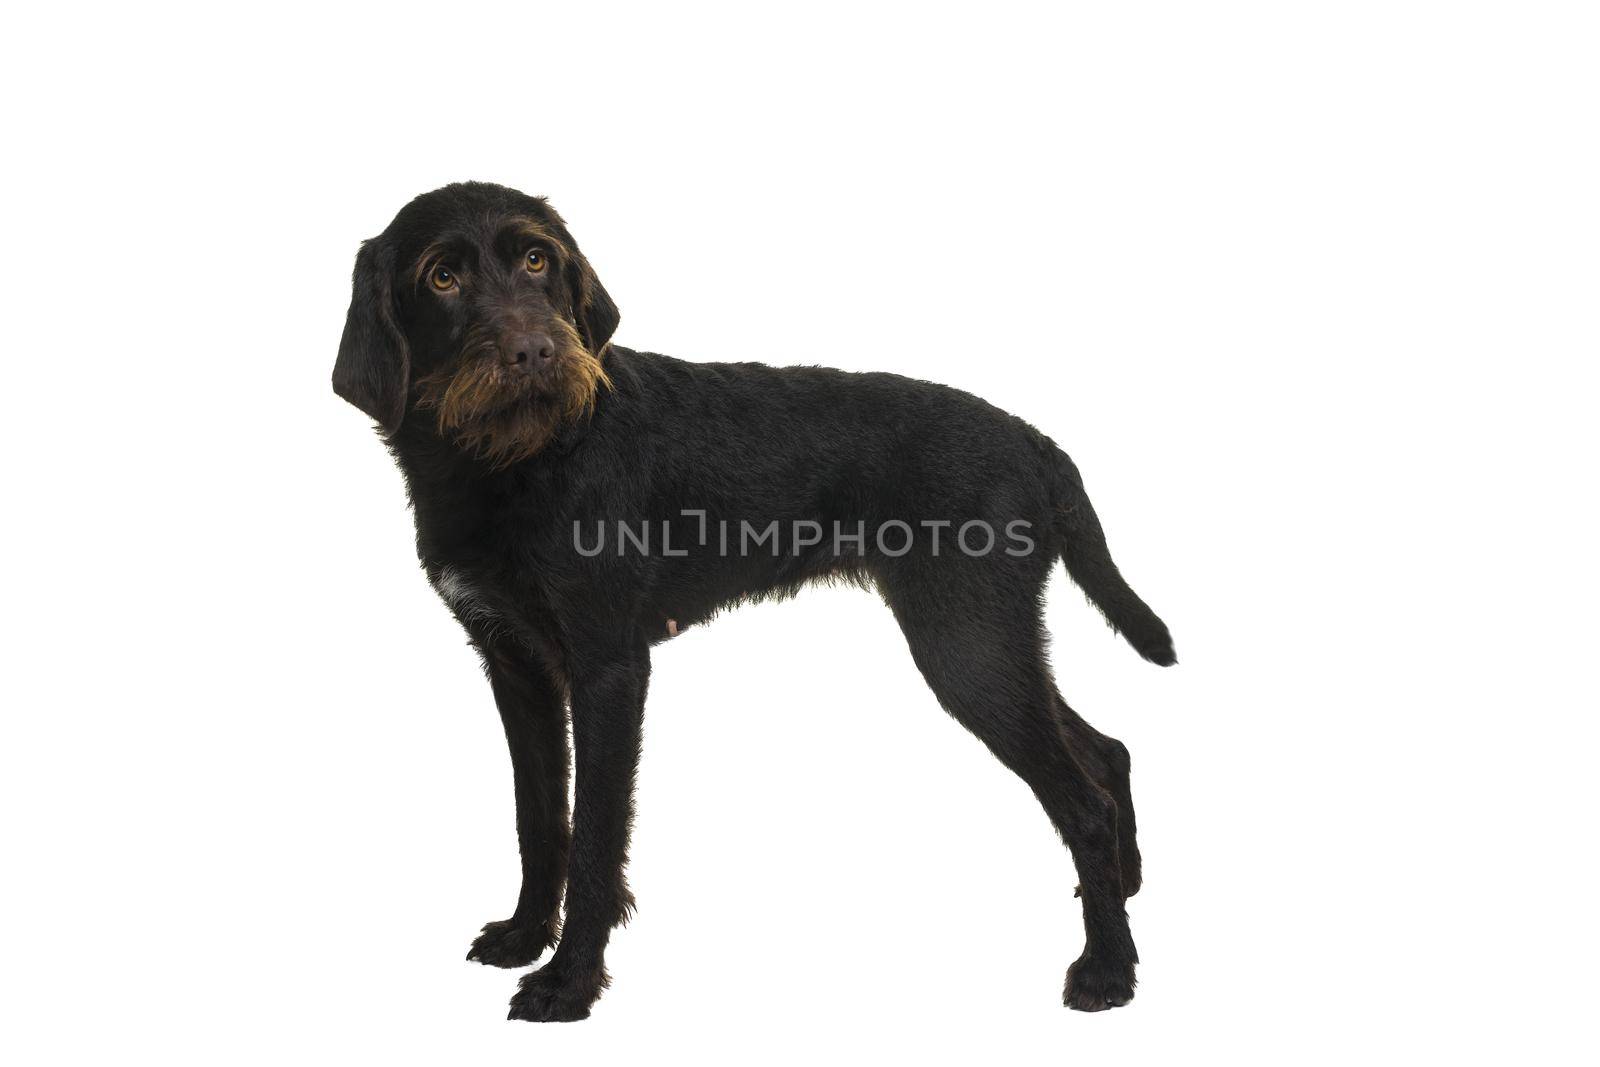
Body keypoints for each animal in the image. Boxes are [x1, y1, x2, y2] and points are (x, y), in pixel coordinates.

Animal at [331, 183, 1177, 1023]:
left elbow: (596, 831)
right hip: (991, 642)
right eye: (442, 276)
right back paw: (1125, 890)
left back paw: (1107, 968)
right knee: (1106, 751)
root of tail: (1035, 442)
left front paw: (568, 980)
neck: (515, 459)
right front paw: (524, 936)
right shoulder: (516, 664)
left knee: (1084, 801)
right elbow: (539, 817)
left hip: (968, 646)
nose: (536, 351)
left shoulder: (608, 668)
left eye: (536, 259)